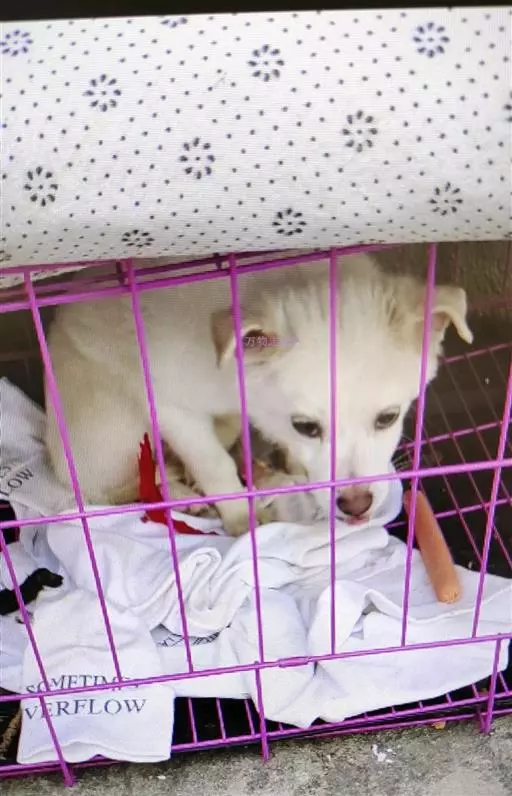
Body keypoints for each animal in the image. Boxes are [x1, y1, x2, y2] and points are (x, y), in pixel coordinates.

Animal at [45, 253, 473, 535]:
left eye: (387, 418)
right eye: (306, 426)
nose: (355, 507)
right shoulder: (171, 404)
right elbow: (215, 467)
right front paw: (242, 522)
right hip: (112, 424)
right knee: (111, 487)